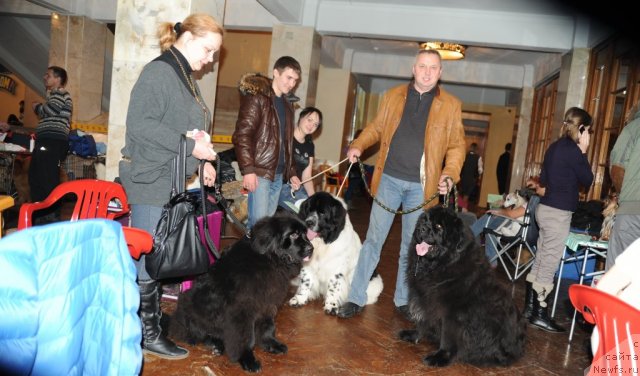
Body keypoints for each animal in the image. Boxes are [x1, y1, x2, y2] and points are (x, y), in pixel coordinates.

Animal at [169, 212, 312, 374]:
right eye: (293, 234)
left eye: (305, 233)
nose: (311, 248)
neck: (269, 259)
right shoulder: (241, 310)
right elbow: (245, 337)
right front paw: (247, 359)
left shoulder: (266, 303)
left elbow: (268, 326)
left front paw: (271, 344)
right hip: (193, 307)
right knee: (197, 333)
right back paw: (215, 344)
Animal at [400, 206, 524, 368]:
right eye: (424, 220)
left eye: (439, 226)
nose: (421, 228)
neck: (442, 264)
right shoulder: (425, 299)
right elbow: (422, 320)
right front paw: (414, 335)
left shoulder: (452, 312)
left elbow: (447, 337)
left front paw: (440, 357)